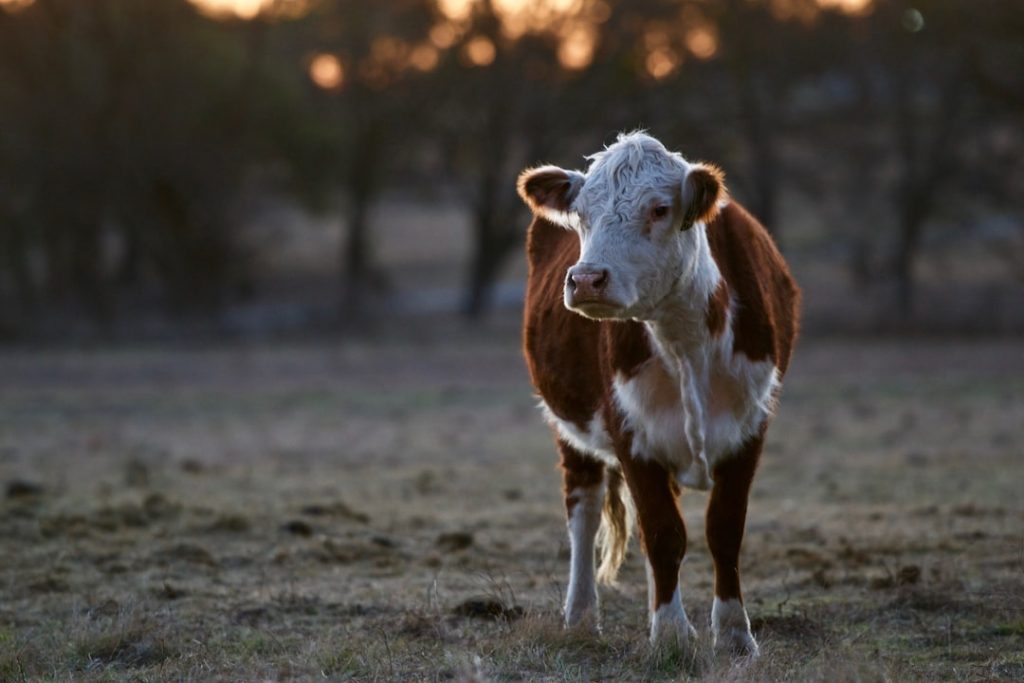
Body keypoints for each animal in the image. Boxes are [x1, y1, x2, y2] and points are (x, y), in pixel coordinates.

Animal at [517, 131, 799, 656]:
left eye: (660, 208)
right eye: (581, 212)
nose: (586, 279)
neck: (685, 339)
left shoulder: (751, 427)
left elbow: (723, 530)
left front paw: (734, 634)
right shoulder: (630, 432)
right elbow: (664, 533)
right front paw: (670, 634)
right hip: (569, 426)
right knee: (584, 511)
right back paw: (581, 617)